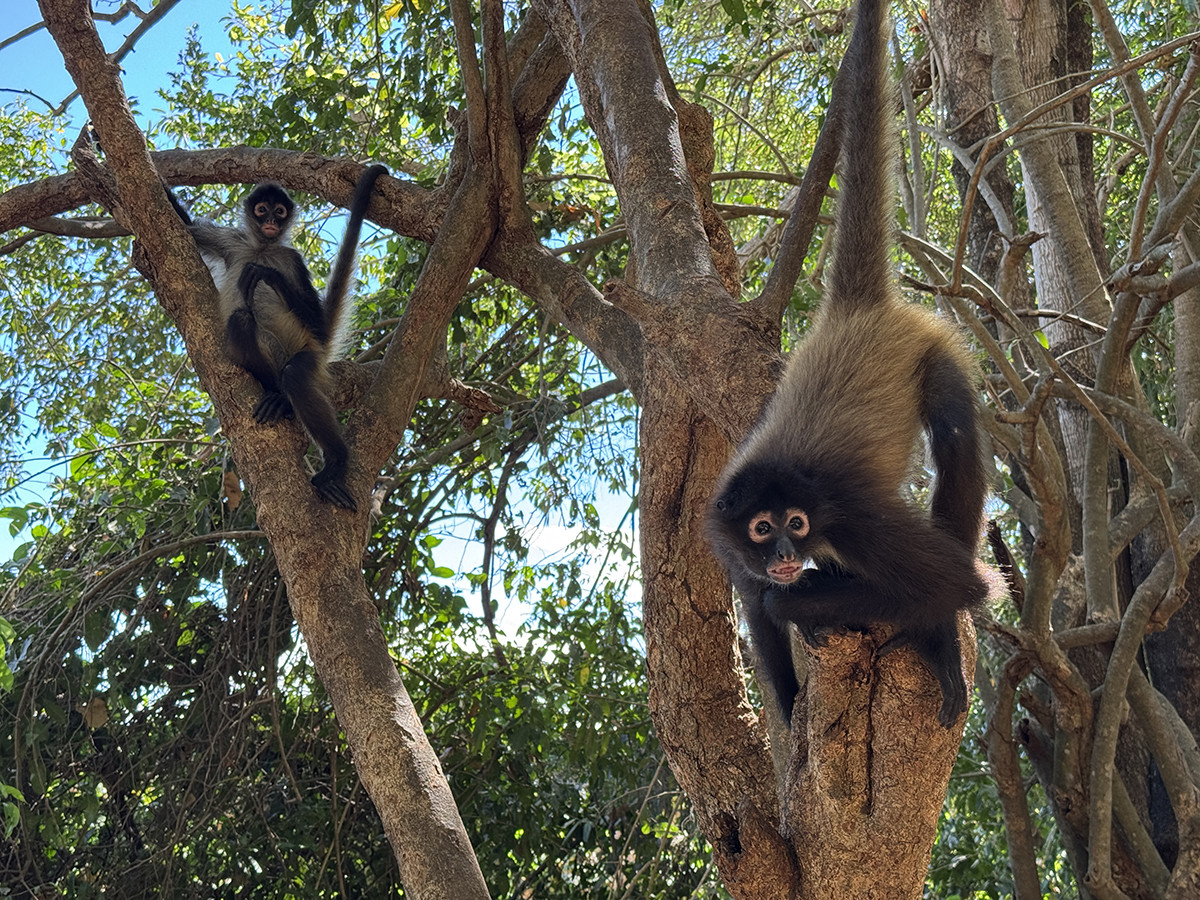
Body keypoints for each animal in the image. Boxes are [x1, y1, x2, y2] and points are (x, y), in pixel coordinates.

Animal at [169, 165, 387, 513]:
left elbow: (316, 321)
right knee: (242, 320)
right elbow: (182, 223)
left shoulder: (292, 259)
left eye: (280, 211)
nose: (271, 220)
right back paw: (276, 395)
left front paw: (267, 275)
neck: (264, 247)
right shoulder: (232, 241)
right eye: (262, 209)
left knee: (296, 373)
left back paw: (334, 457)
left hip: (308, 351)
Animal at [705, 0, 988, 729]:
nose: (783, 553)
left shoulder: (851, 513)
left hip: (935, 350)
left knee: (953, 439)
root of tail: (853, 312)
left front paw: (798, 597)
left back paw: (936, 640)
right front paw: (789, 710)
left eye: (796, 525)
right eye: (762, 528)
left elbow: (956, 583)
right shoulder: (725, 532)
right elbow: (755, 610)